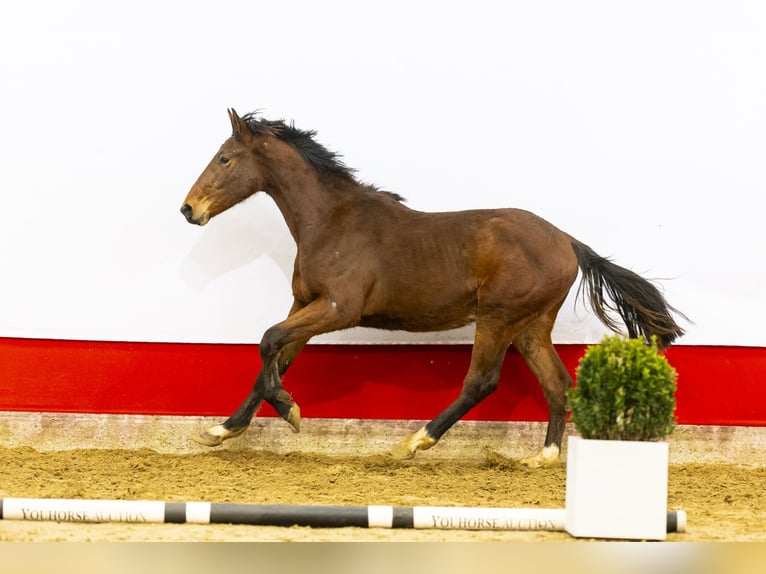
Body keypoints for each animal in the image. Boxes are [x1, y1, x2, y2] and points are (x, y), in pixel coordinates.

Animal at [182, 109, 688, 468]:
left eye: (225, 158)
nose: (189, 209)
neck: (330, 222)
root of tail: (567, 240)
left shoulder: (337, 307)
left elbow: (268, 340)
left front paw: (289, 410)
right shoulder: (305, 303)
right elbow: (275, 354)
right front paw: (222, 430)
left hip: (498, 317)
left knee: (481, 382)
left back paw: (412, 443)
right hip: (530, 325)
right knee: (557, 384)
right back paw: (541, 457)